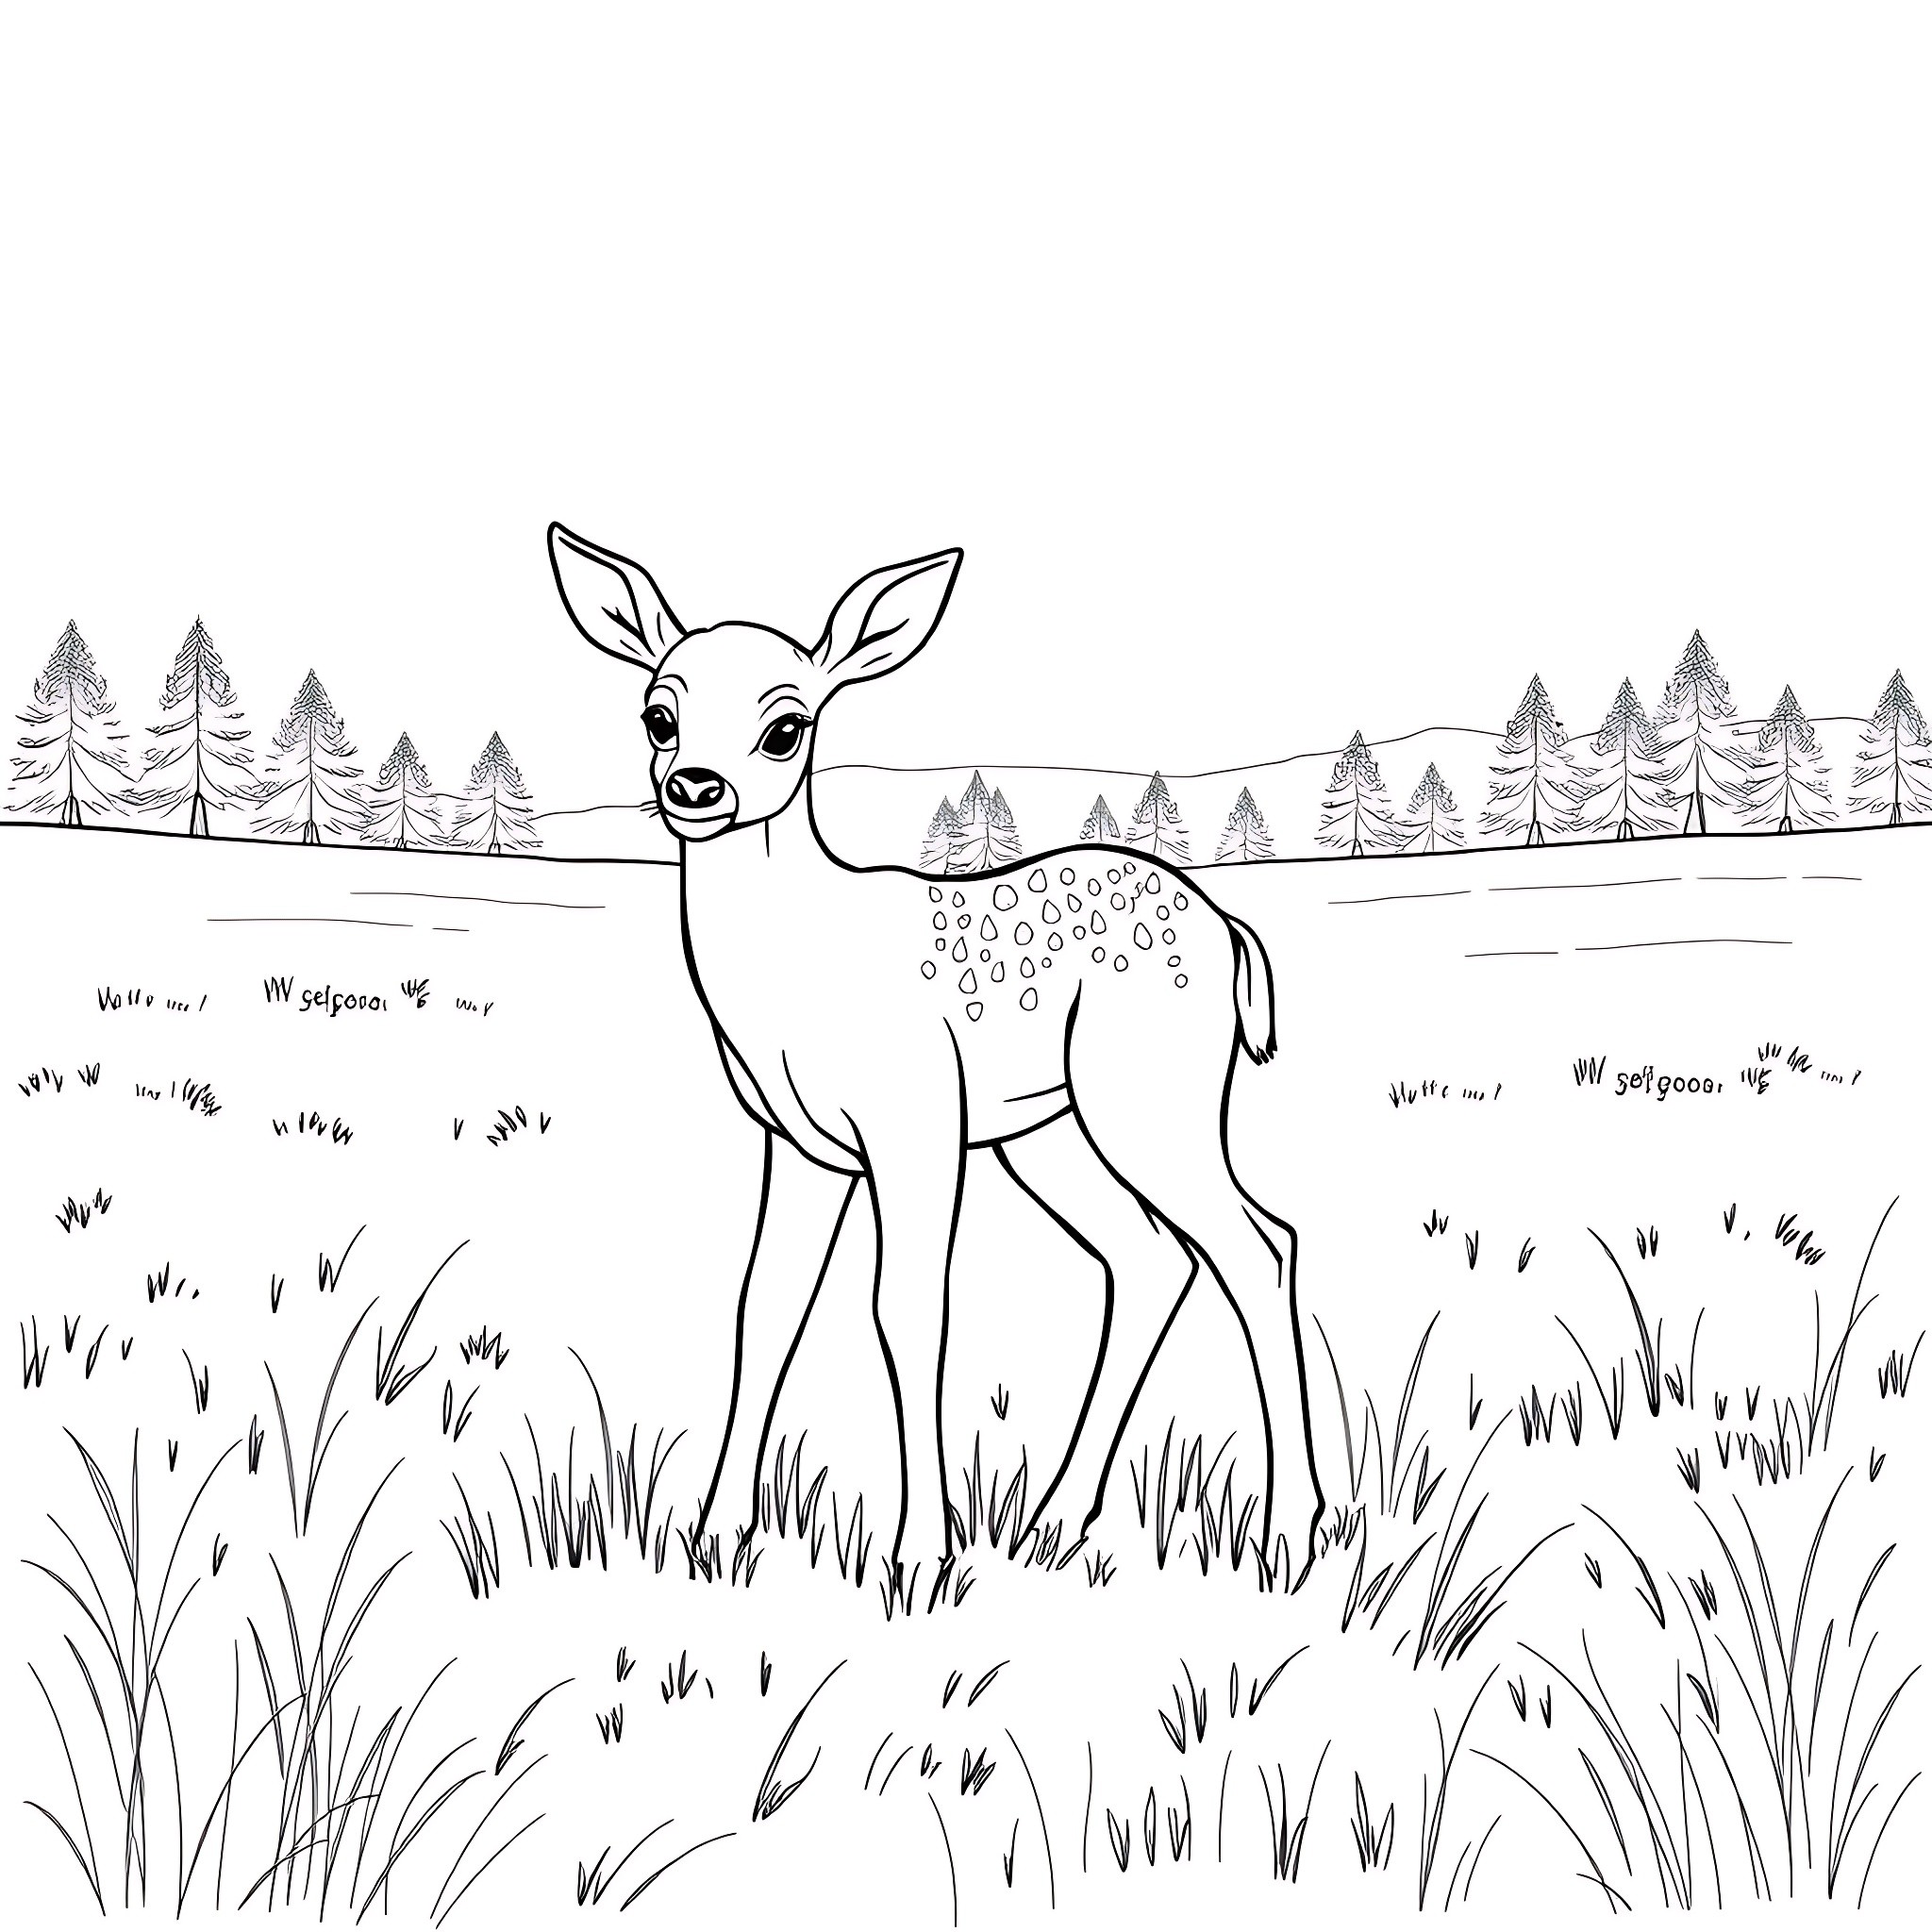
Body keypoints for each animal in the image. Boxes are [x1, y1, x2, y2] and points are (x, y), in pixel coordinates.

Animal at [549, 525, 1326, 1589]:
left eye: (786, 728)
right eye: (656, 713)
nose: (695, 787)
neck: (790, 979)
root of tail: (1232, 936)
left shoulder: (912, 1118)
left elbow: (907, 1308)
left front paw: (919, 1555)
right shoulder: (798, 1144)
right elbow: (765, 1306)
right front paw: (714, 1536)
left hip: (1148, 1098)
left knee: (1258, 1245)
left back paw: (1289, 1532)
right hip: (1049, 1129)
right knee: (1149, 1255)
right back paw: (1053, 1523)